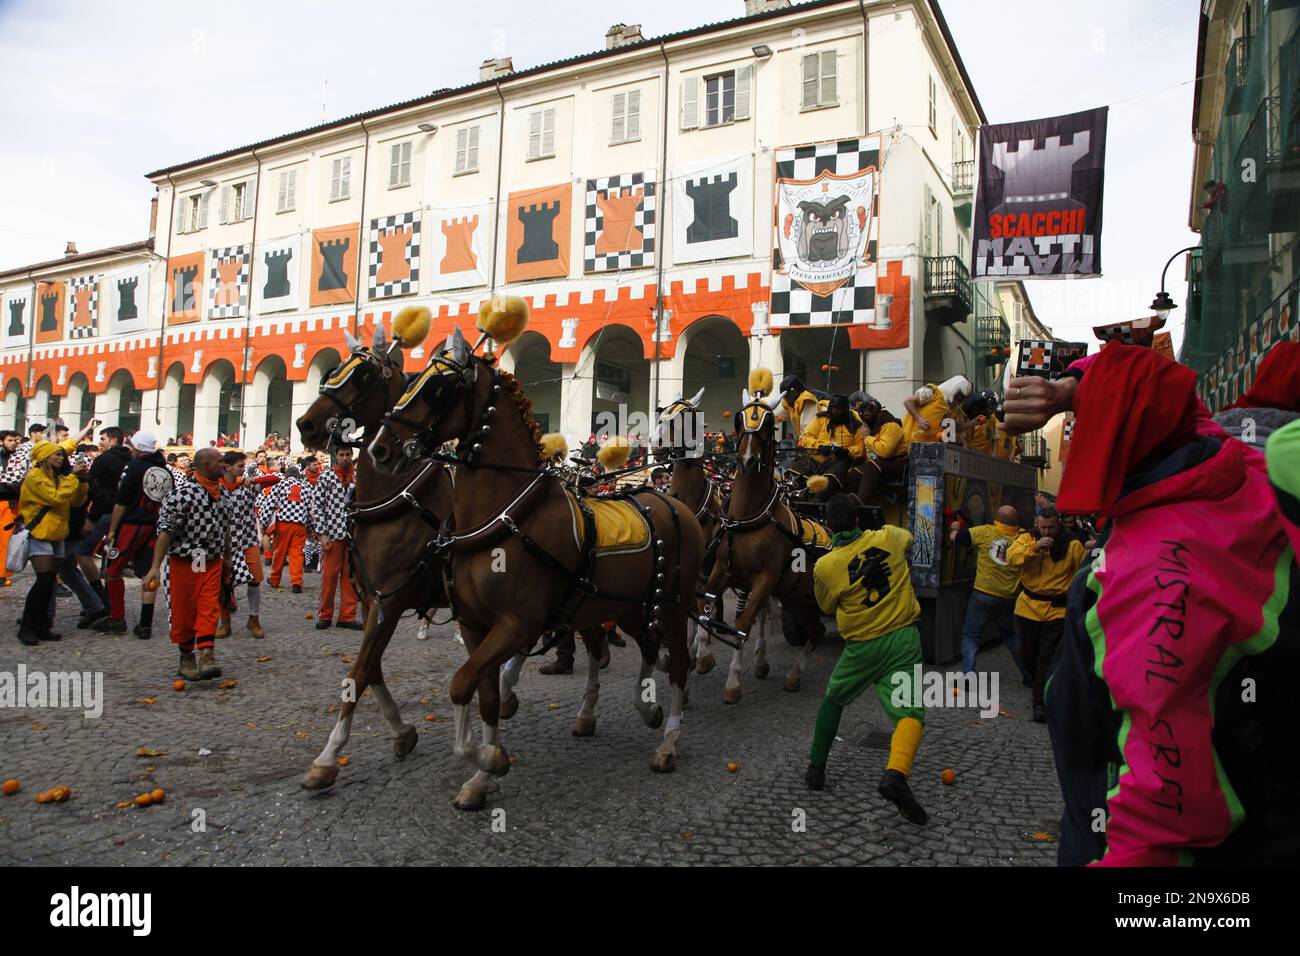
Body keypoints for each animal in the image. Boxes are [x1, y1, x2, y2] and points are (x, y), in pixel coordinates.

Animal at [371, 325, 707, 811]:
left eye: (438, 388)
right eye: (413, 379)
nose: (379, 447)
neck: (507, 515)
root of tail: (671, 502)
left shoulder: (518, 623)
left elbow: (461, 685)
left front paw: (487, 759)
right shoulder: (475, 626)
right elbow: (484, 695)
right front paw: (482, 775)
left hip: (675, 605)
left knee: (678, 663)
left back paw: (668, 742)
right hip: (626, 605)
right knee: (646, 645)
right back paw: (646, 707)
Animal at [702, 369, 821, 707]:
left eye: (768, 423)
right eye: (739, 419)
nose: (746, 459)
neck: (748, 516)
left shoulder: (764, 580)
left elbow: (743, 624)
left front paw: (733, 682)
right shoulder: (722, 570)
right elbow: (706, 609)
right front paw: (703, 657)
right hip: (795, 595)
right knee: (815, 630)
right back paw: (792, 674)